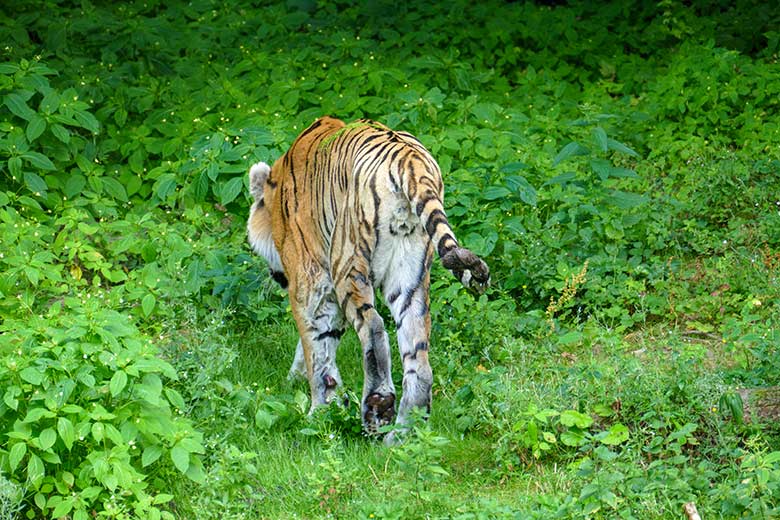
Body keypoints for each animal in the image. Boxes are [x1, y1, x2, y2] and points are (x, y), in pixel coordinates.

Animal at [247, 117, 488, 438]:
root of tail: (411, 159)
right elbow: (318, 342)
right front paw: (298, 382)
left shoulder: (311, 280)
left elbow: (315, 348)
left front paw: (318, 410)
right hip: (410, 279)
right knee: (419, 357)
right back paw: (403, 434)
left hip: (347, 261)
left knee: (373, 327)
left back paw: (378, 406)